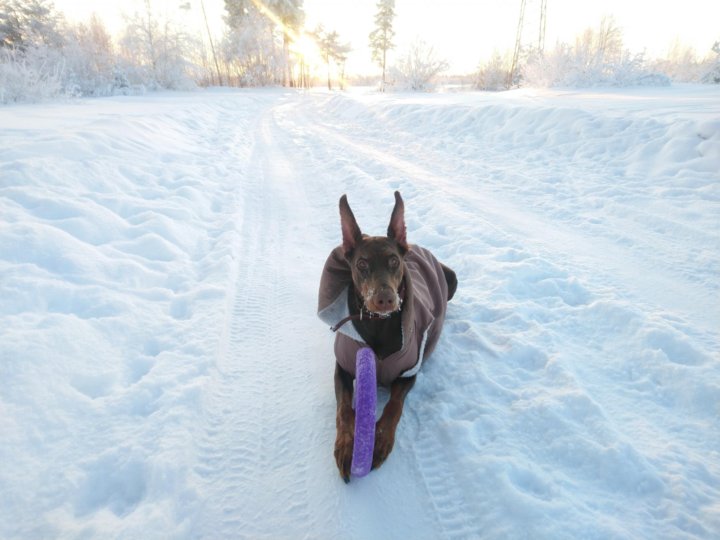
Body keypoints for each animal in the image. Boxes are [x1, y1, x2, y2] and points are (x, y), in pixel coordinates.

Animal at [316, 192, 456, 484]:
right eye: (362, 264)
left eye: (394, 261)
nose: (385, 299)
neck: (377, 324)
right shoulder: (342, 366)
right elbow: (343, 409)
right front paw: (346, 446)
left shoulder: (409, 372)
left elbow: (394, 407)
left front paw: (379, 441)